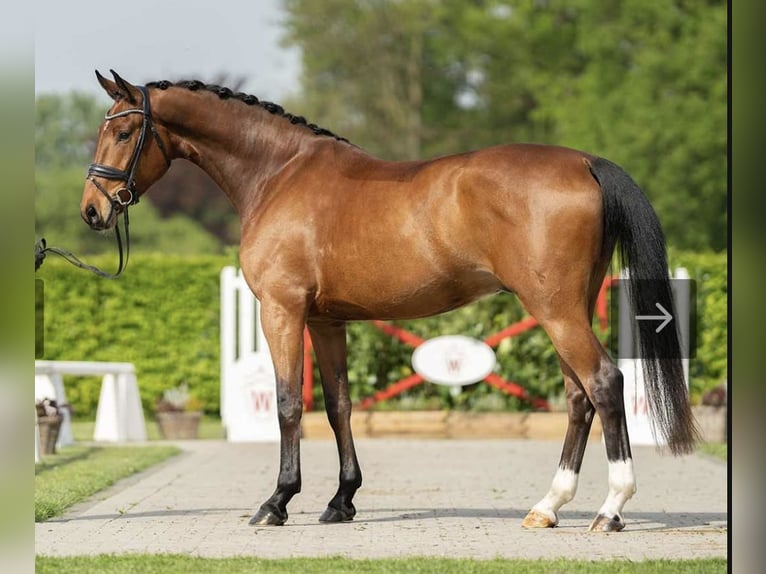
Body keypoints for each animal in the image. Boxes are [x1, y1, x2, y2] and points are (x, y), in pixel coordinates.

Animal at [81, 70, 700, 532]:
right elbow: (337, 405)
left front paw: (277, 502)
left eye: (124, 132)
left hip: (556, 310)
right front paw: (341, 501)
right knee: (578, 396)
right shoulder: (326, 320)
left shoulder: (281, 311)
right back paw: (547, 507)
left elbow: (287, 404)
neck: (278, 173)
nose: (93, 210)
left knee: (604, 384)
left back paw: (610, 509)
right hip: (565, 309)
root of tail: (586, 162)